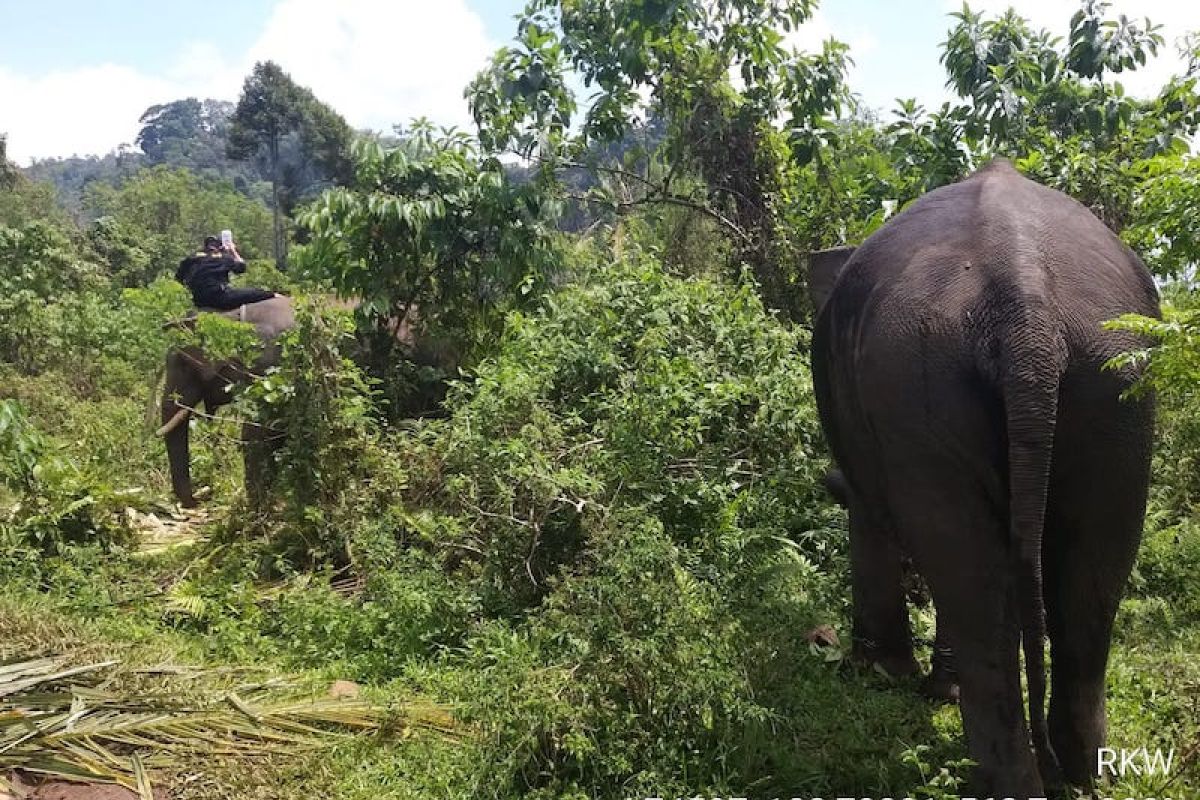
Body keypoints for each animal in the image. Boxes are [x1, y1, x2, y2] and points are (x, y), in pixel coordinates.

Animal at [159, 297, 453, 510]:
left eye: (184, 365)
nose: (199, 499)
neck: (231, 315)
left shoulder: (275, 365)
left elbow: (259, 432)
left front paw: (253, 512)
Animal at [806, 159, 1161, 796]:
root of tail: (1023, 304)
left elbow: (871, 519)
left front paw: (879, 675)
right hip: (1116, 380)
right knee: (1087, 575)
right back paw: (1077, 777)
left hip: (917, 382)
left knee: (976, 580)